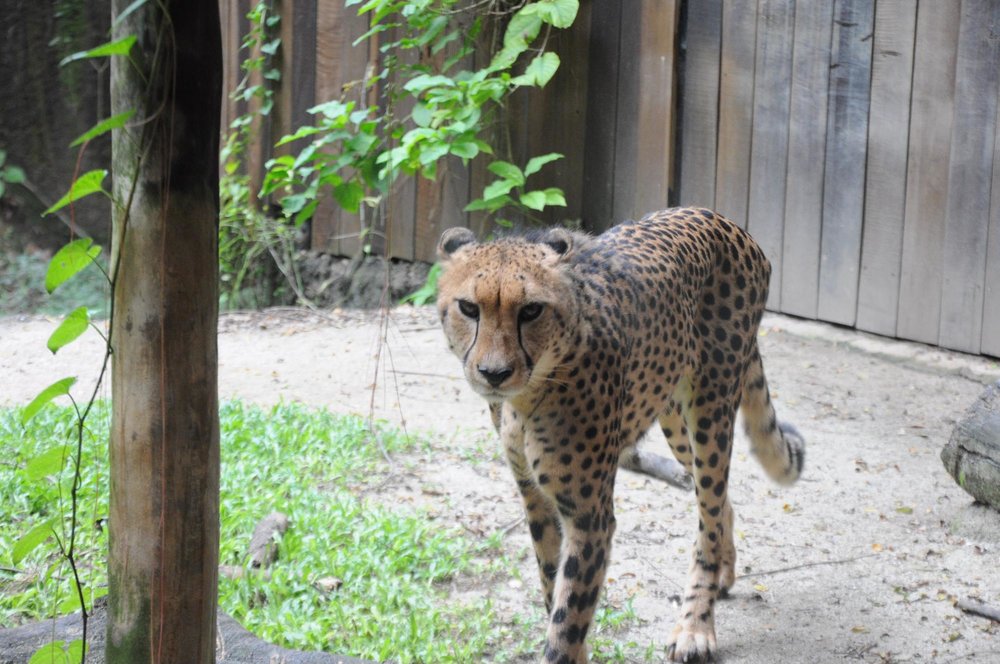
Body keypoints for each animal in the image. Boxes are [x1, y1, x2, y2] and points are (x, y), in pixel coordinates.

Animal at [436, 207, 805, 663]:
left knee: (709, 510)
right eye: (469, 307)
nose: (494, 373)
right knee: (718, 506)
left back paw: (696, 627)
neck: (528, 396)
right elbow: (552, 586)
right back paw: (723, 573)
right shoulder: (535, 496)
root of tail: (716, 216)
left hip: (711, 409)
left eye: (531, 310)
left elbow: (566, 622)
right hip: (672, 417)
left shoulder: (590, 516)